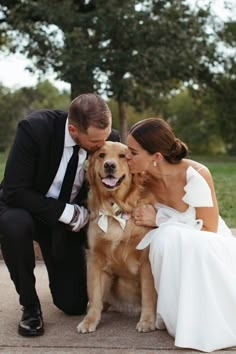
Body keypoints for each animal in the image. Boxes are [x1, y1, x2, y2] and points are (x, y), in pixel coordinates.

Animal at [77, 142, 157, 334]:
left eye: (122, 156)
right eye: (101, 155)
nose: (109, 165)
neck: (115, 210)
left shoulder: (146, 260)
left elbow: (148, 294)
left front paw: (147, 320)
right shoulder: (96, 259)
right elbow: (95, 295)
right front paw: (90, 320)